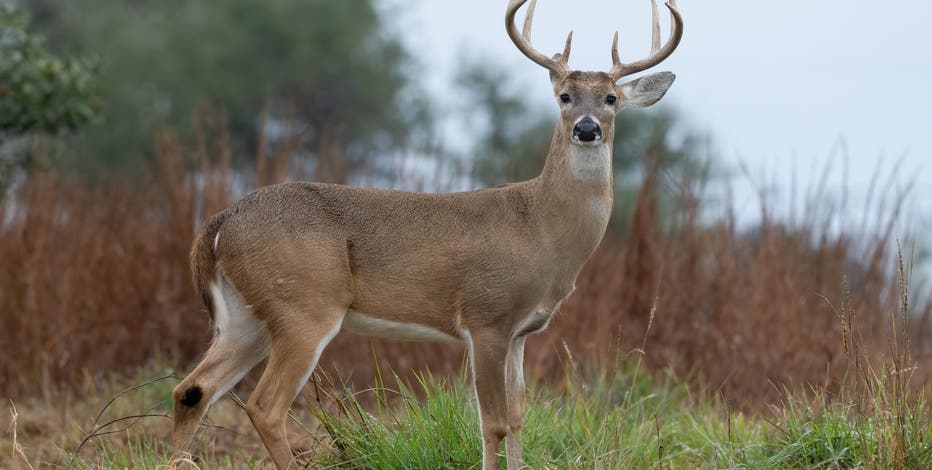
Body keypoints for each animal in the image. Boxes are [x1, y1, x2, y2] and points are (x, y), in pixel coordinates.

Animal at [169, 0, 683, 468]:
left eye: (611, 99)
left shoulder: (521, 331)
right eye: (565, 96)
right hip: (304, 307)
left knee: (192, 389)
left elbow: (519, 418)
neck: (540, 227)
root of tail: (220, 222)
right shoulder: (486, 316)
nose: (587, 128)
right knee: (264, 405)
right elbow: (493, 423)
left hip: (247, 316)